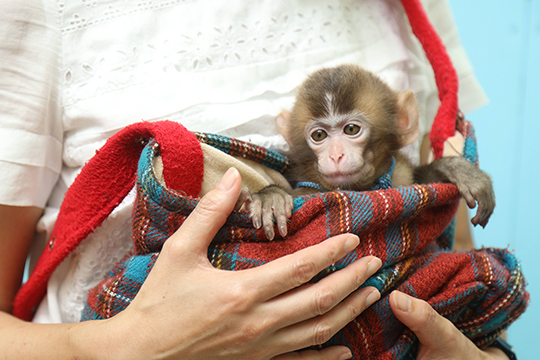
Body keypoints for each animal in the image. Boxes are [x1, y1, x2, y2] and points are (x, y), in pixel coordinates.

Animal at [249, 64, 494, 240]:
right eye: (319, 135)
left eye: (351, 129)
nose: (336, 156)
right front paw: (271, 197)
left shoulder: (400, 175)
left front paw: (455, 169)